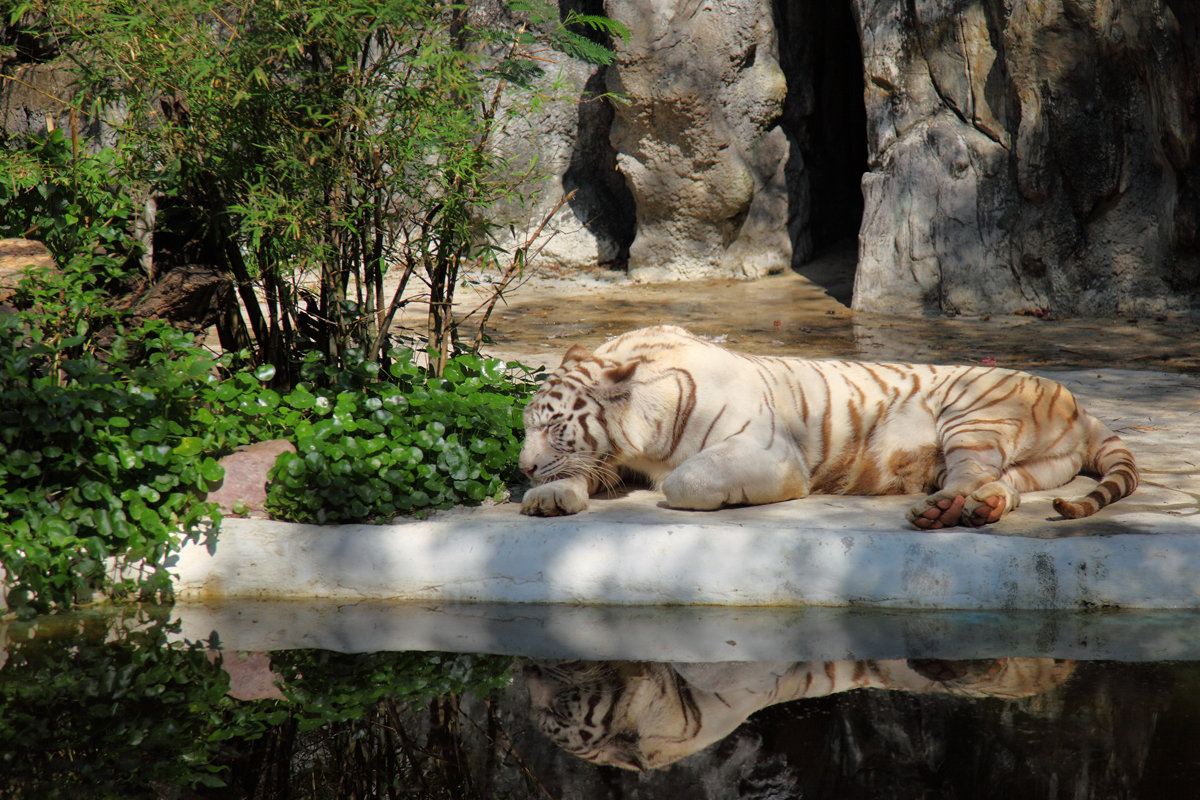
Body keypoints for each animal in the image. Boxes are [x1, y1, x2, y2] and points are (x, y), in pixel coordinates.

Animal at [516, 321, 1132, 527]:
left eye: (553, 425)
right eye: (528, 426)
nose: (520, 468)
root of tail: (1078, 403)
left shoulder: (769, 451)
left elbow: (685, 479)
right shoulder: (614, 457)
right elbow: (585, 471)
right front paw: (549, 496)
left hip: (971, 414)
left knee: (969, 474)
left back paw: (940, 510)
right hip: (1033, 468)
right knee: (1001, 485)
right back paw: (978, 509)